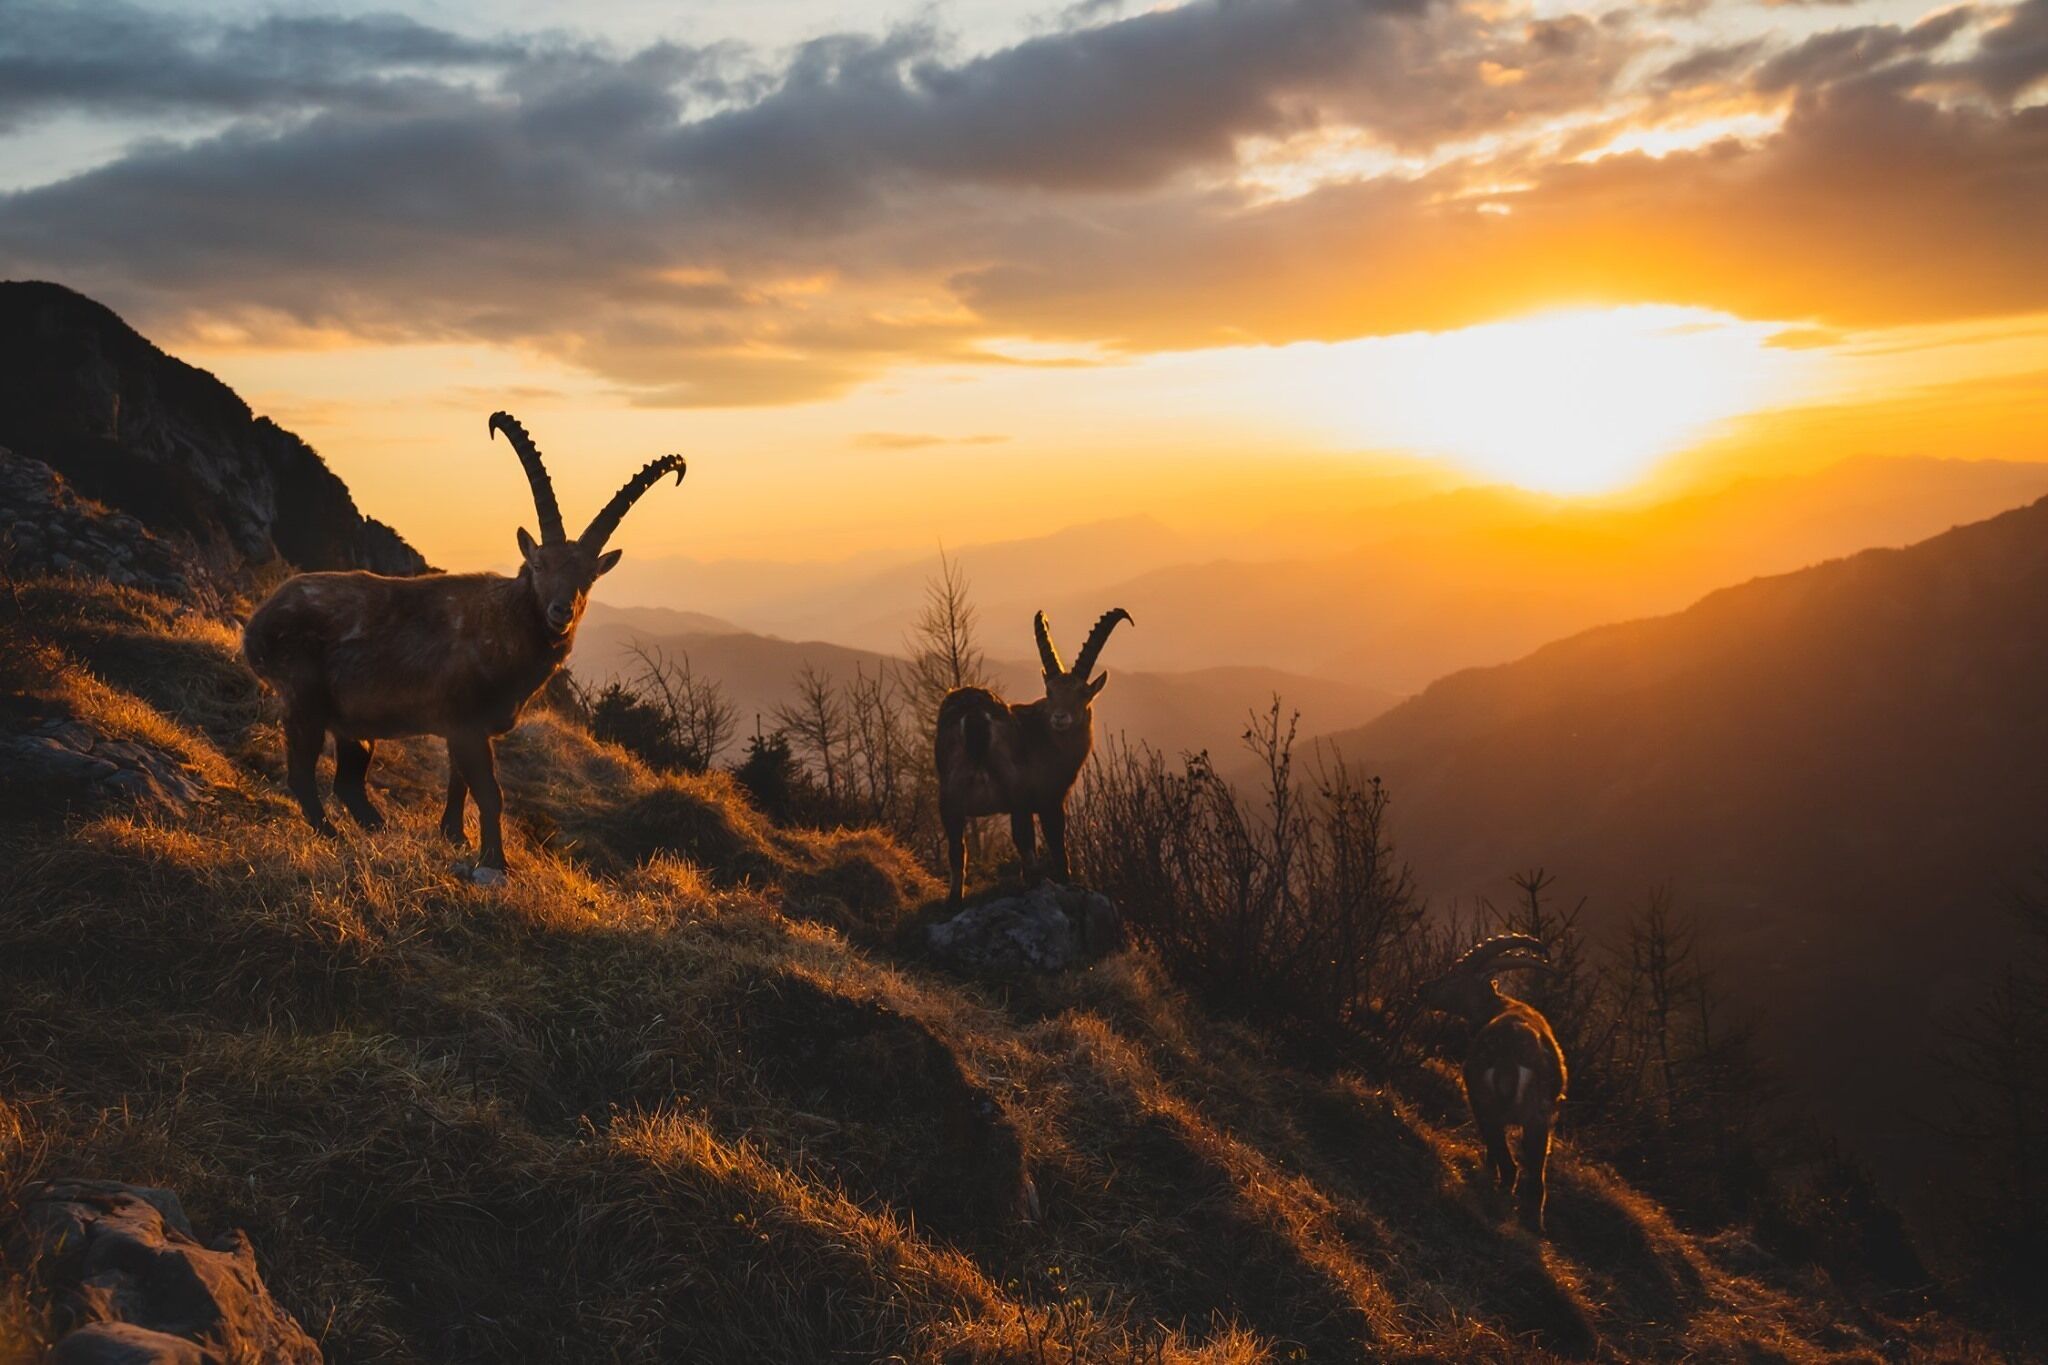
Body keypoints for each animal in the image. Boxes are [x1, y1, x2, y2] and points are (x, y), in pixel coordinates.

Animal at [242, 412, 685, 882]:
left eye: (589, 576)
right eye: (538, 564)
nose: (561, 610)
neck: (504, 625)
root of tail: (259, 622)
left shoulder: (463, 728)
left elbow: (458, 783)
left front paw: (454, 837)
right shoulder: (466, 723)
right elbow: (489, 793)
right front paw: (494, 862)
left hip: (352, 722)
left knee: (348, 782)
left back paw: (379, 831)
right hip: (303, 698)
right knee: (301, 775)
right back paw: (333, 834)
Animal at [933, 607, 1131, 904]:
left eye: (1082, 693)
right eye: (1050, 691)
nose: (1060, 717)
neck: (1047, 739)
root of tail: (975, 716)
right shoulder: (1051, 801)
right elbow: (1058, 848)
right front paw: (1066, 883)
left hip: (950, 798)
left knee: (958, 851)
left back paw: (955, 901)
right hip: (1016, 794)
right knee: (1024, 842)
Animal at [1418, 933, 1568, 1233]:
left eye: (1454, 975)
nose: (1422, 988)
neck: (1497, 1006)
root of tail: (1509, 1056)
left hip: (1486, 1105)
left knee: (1508, 1165)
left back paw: (1495, 1198)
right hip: (1537, 1120)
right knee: (1536, 1182)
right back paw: (1534, 1226)